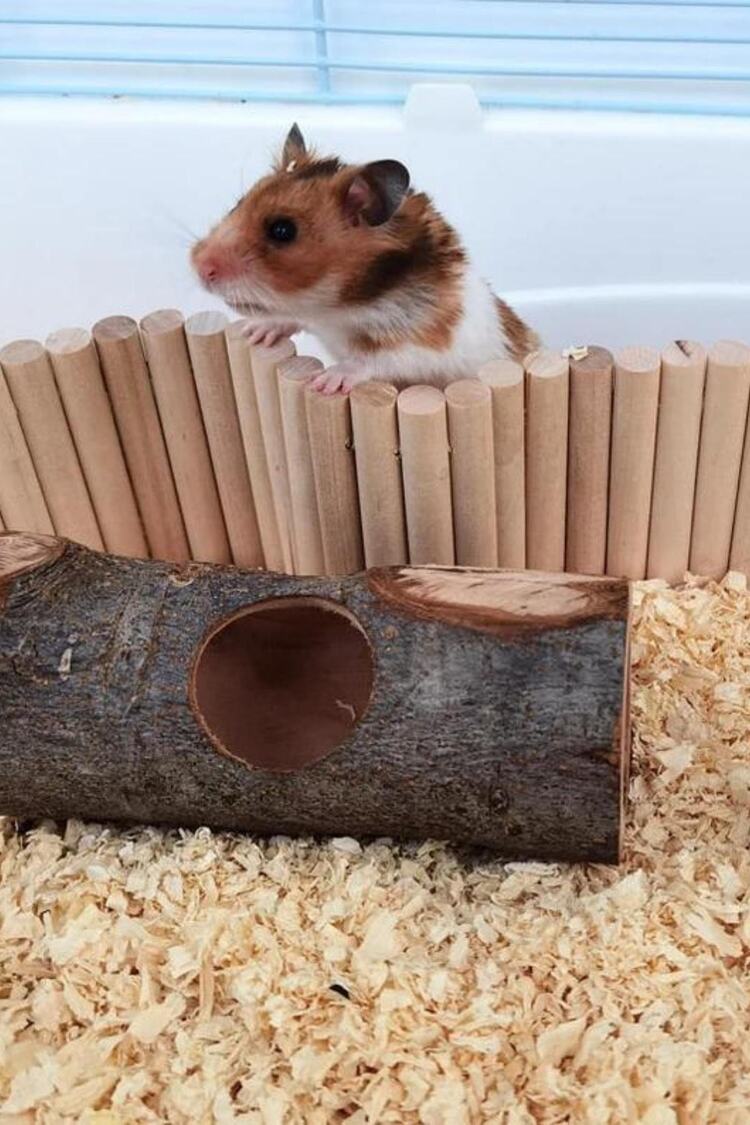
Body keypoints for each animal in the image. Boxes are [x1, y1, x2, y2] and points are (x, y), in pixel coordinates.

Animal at [192, 124, 539, 394]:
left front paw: (325, 381)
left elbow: (374, 359)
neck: (340, 307)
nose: (198, 266)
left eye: (282, 230)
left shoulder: (426, 342)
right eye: (238, 204)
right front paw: (255, 333)